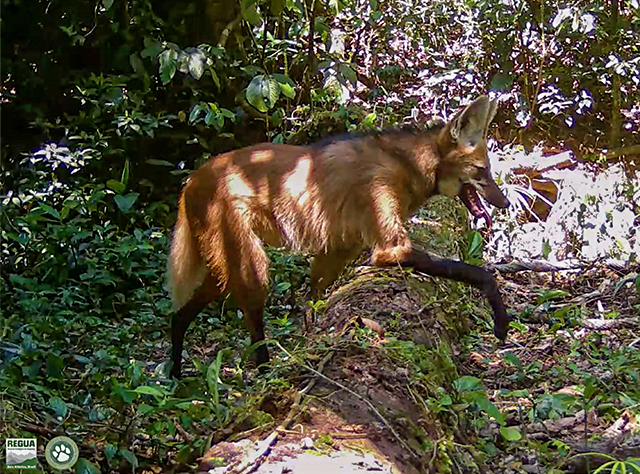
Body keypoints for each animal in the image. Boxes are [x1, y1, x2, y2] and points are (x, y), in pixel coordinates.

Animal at [165, 95, 510, 378]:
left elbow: (314, 300)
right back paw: (263, 373)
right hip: (250, 263)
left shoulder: (338, 249)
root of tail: (191, 179)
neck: (408, 165)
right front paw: (500, 316)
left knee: (180, 314)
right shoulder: (389, 247)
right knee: (250, 315)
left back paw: (176, 374)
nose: (505, 202)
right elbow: (477, 272)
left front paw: (312, 340)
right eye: (481, 170)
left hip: (220, 263)